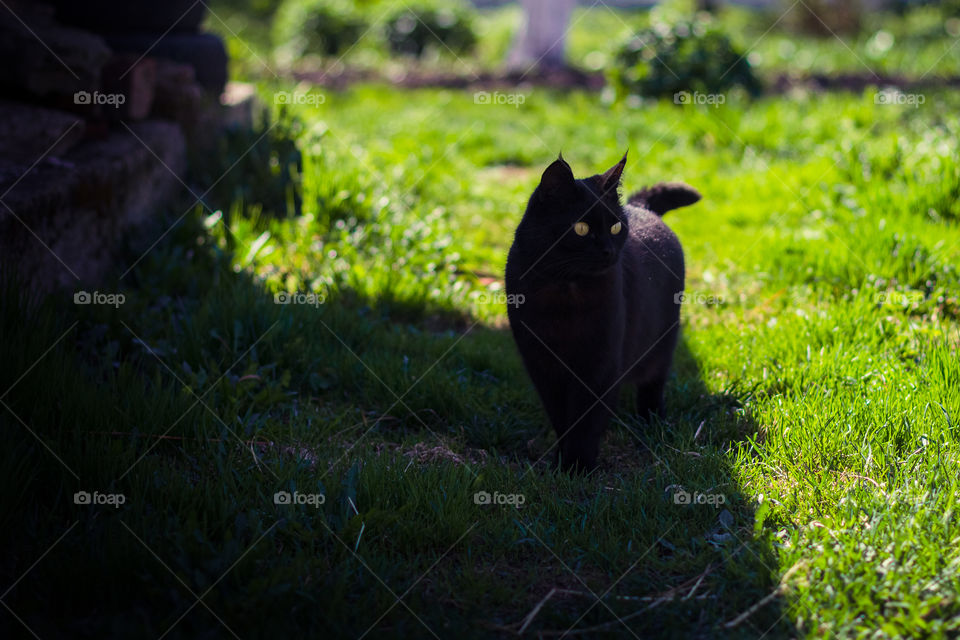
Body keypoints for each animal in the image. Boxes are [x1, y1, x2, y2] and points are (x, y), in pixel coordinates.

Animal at [506, 154, 700, 476]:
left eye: (615, 228)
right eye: (581, 229)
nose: (608, 251)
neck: (566, 291)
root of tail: (642, 207)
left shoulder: (600, 361)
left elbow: (585, 420)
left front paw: (579, 467)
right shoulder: (542, 364)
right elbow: (561, 418)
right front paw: (562, 464)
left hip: (663, 341)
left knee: (653, 383)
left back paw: (653, 423)